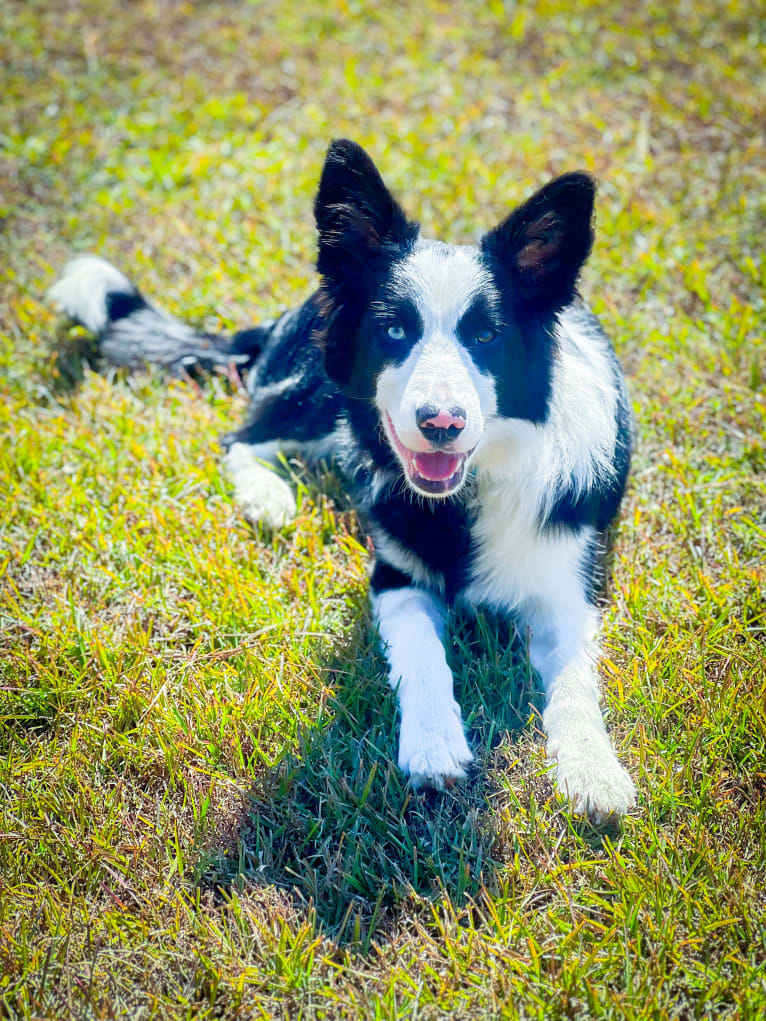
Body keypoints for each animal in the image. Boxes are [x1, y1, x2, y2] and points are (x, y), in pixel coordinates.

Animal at [48, 139, 637, 816]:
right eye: (395, 329)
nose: (441, 423)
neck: (466, 495)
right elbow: (423, 653)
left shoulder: (568, 590)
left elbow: (575, 679)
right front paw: (432, 743)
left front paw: (592, 769)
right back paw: (268, 496)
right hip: (319, 394)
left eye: (487, 335)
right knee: (244, 437)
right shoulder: (396, 578)